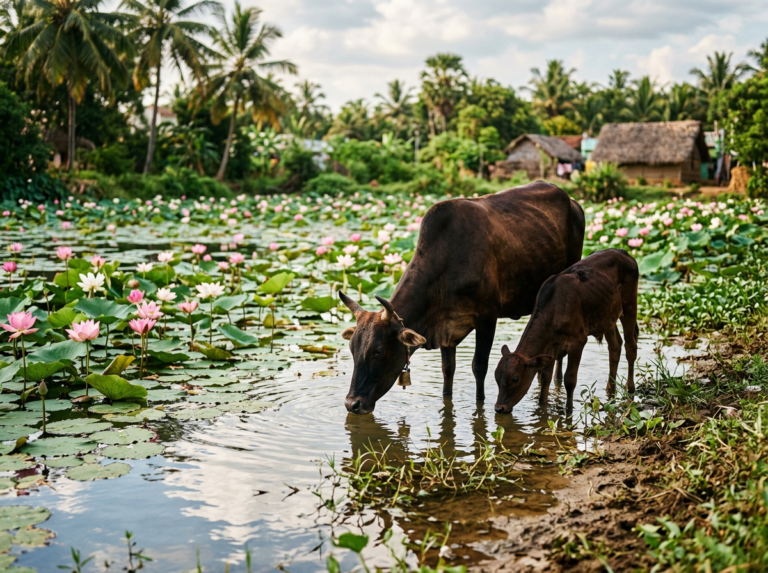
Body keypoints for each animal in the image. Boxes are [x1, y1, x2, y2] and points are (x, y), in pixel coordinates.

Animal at [339, 180, 585, 415]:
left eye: (378, 351)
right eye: (352, 348)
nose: (352, 404)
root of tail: (572, 201)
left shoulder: (487, 318)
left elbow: (479, 367)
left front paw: (481, 402)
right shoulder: (445, 329)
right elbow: (448, 370)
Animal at [493, 248, 639, 415]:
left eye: (515, 379)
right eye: (496, 376)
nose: (499, 408)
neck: (554, 310)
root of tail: (621, 251)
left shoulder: (578, 342)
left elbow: (569, 379)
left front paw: (568, 410)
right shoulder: (550, 346)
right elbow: (546, 377)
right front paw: (543, 407)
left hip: (629, 306)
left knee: (630, 347)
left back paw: (630, 388)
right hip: (607, 316)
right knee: (615, 346)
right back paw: (610, 389)